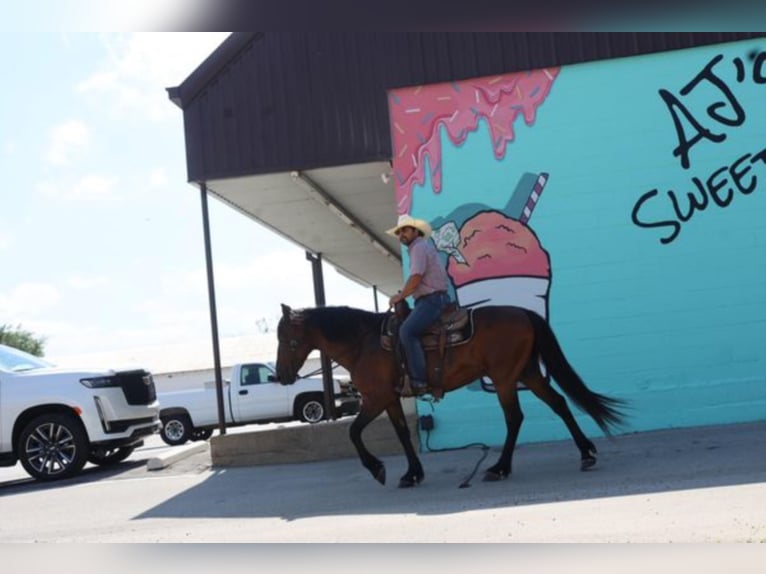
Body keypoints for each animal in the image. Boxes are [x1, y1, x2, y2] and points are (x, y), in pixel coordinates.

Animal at [280, 304, 628, 488]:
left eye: (286, 338)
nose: (280, 376)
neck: (363, 343)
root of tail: (523, 312)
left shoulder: (376, 398)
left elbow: (353, 431)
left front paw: (378, 469)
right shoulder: (390, 399)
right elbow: (403, 434)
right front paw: (412, 474)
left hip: (504, 378)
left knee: (514, 418)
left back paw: (499, 468)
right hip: (526, 373)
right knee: (558, 404)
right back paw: (586, 454)